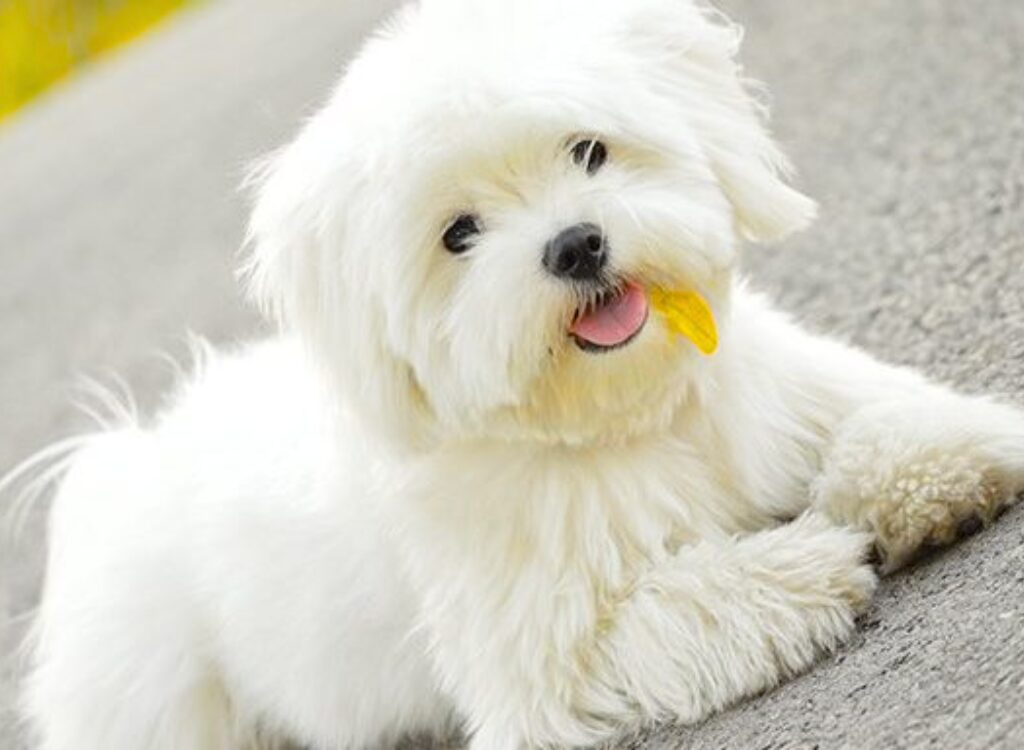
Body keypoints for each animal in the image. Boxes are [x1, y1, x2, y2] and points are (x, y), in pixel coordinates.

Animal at [12, 1, 1024, 750]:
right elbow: (675, 609)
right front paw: (802, 564)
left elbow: (882, 420)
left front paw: (941, 460)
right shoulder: (544, 668)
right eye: (460, 233)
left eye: (588, 149)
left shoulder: (788, 397)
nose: (575, 244)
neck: (627, 418)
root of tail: (129, 459)